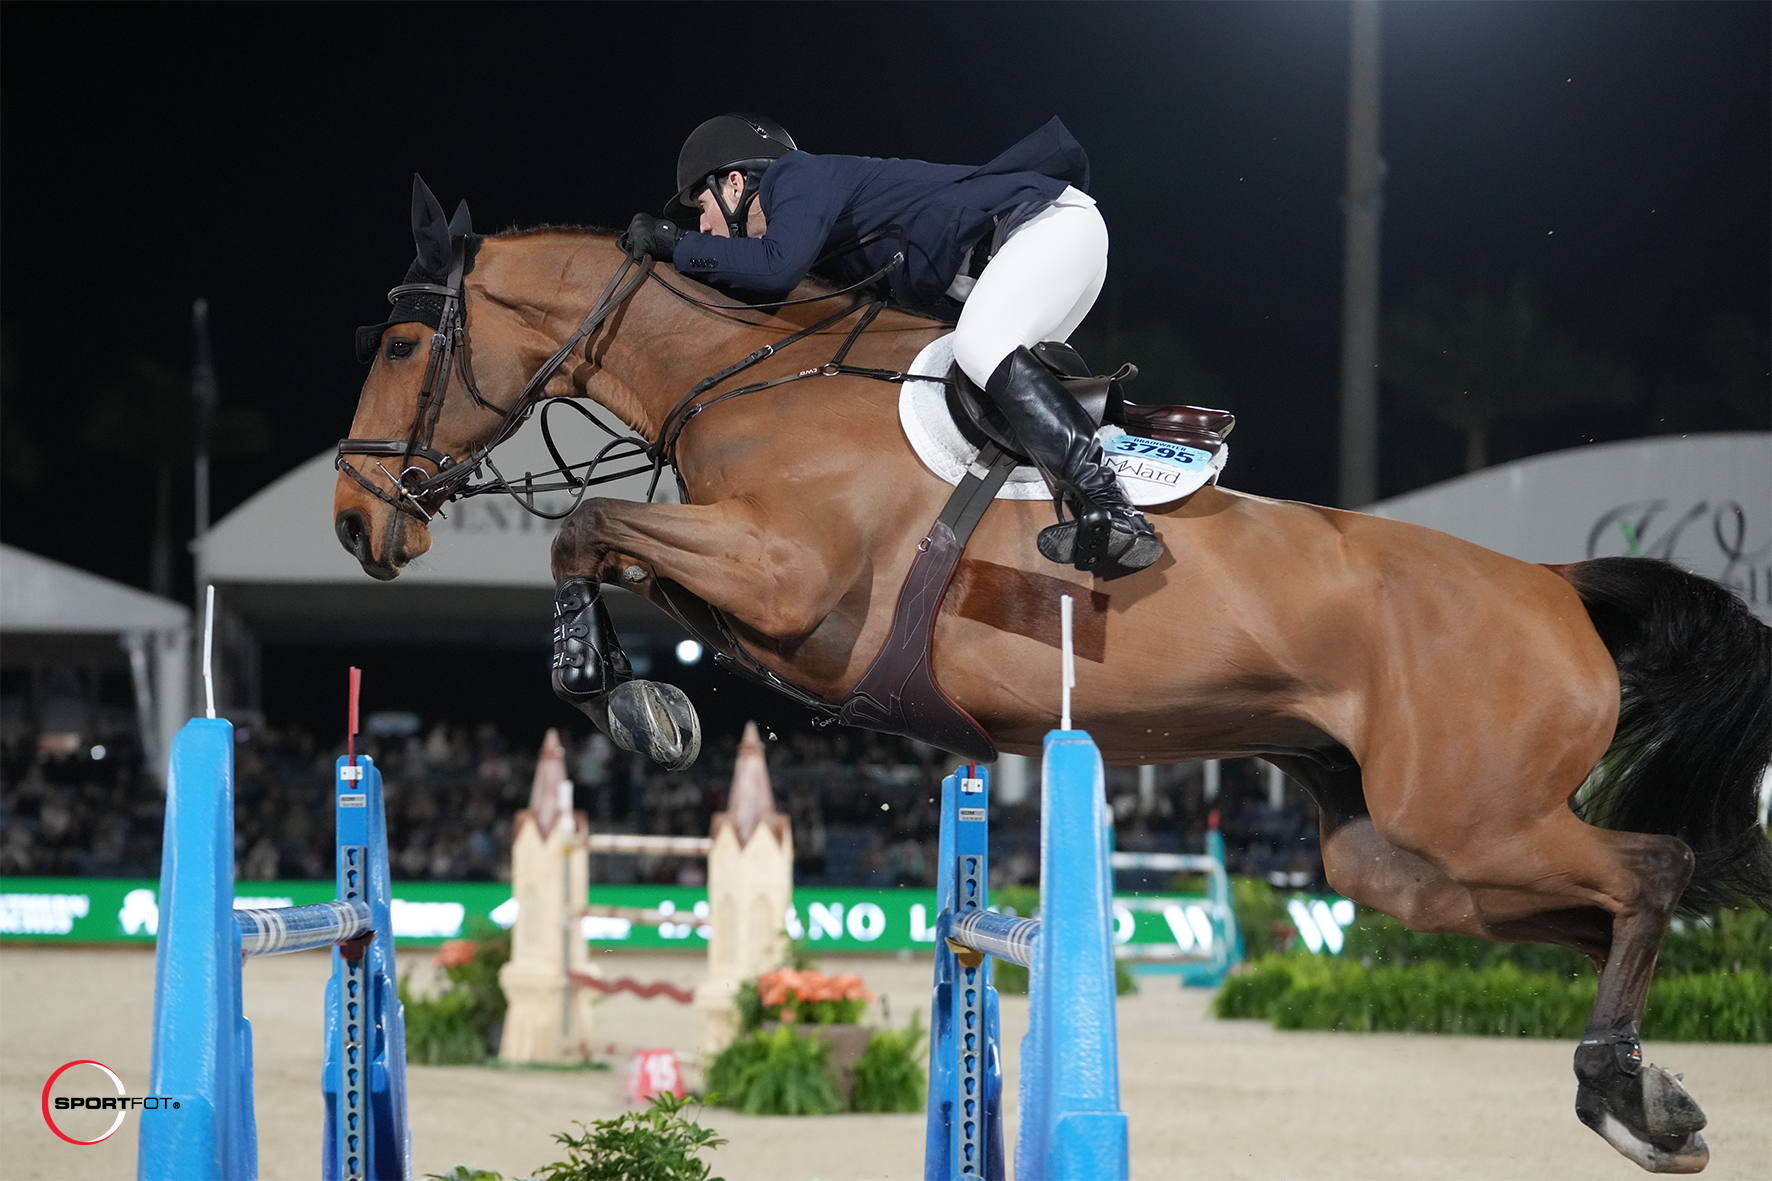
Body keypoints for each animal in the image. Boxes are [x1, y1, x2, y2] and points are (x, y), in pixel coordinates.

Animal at [334, 179, 1772, 1163]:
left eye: (402, 347)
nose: (357, 525)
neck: (745, 377)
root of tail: (1553, 583)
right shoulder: (764, 603)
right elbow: (623, 550)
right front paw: (642, 690)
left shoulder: (790, 581)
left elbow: (585, 525)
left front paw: (618, 684)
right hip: (1405, 861)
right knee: (1596, 913)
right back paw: (1648, 1091)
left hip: (1467, 815)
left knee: (1651, 872)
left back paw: (1618, 1095)